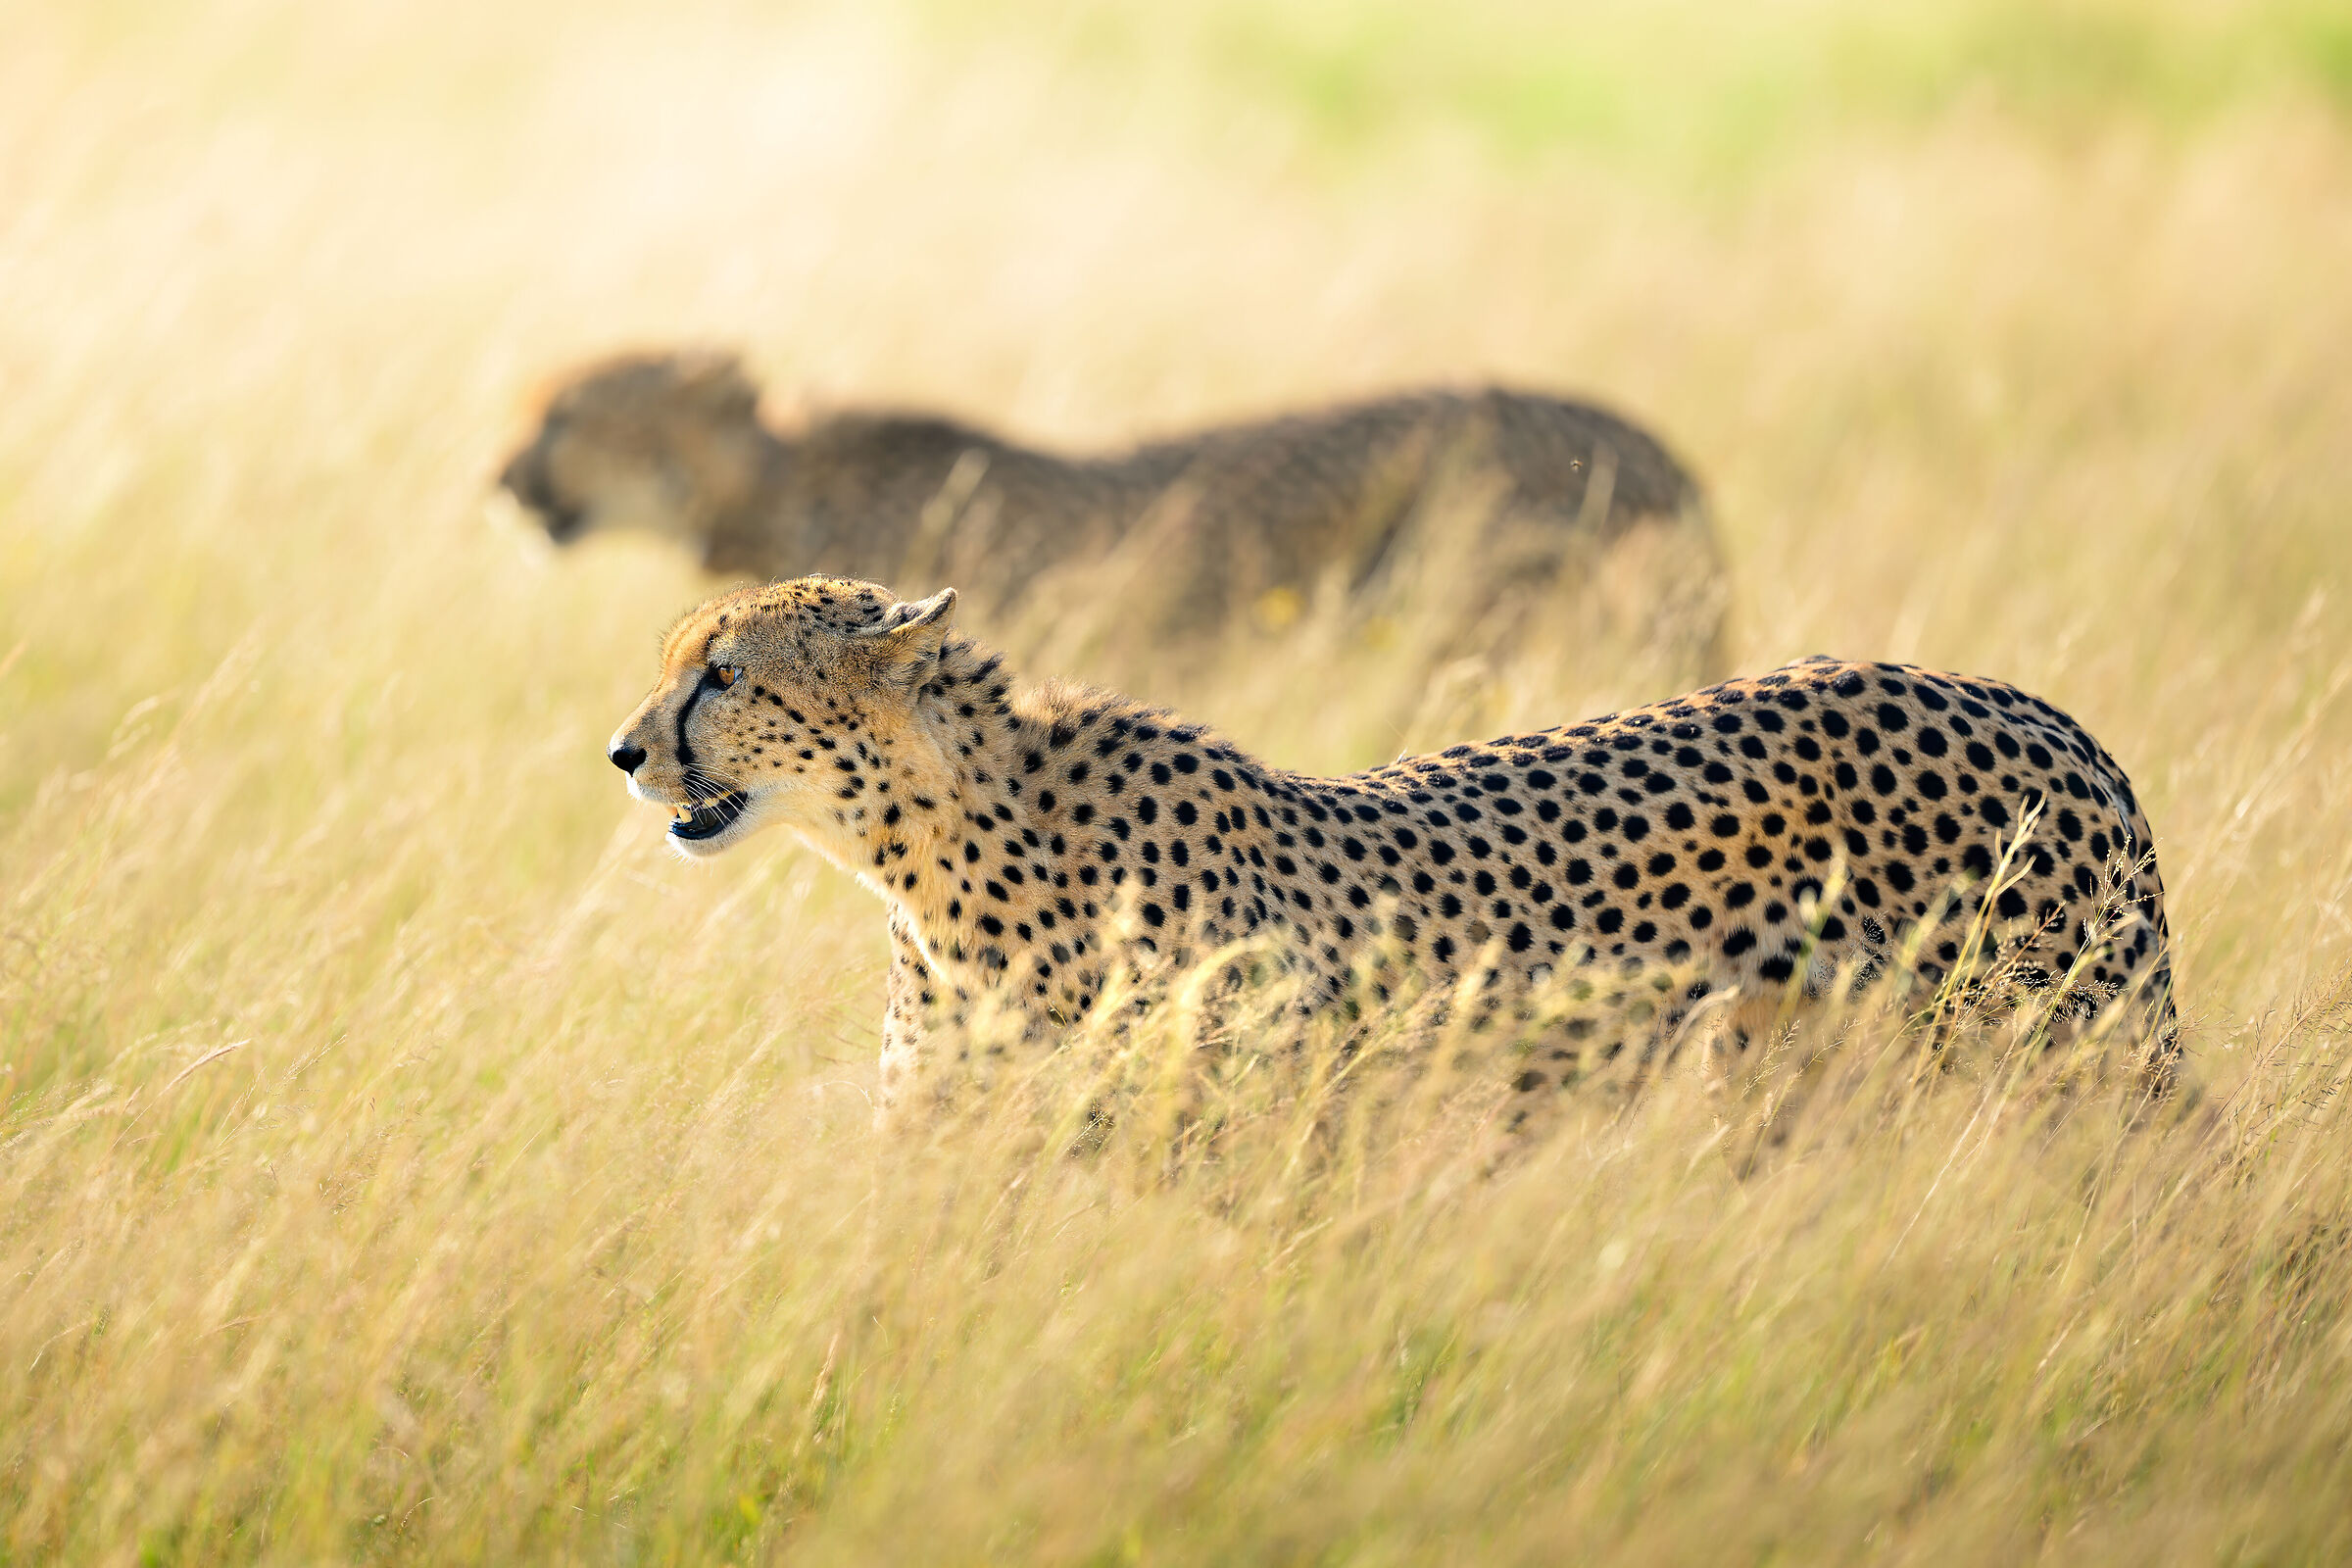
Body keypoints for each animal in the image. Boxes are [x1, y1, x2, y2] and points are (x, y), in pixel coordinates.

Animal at [607, 576, 2179, 1116]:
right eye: (678, 661)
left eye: (724, 675)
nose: (624, 754)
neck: (935, 854)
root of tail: (2028, 704)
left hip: (2072, 1057)